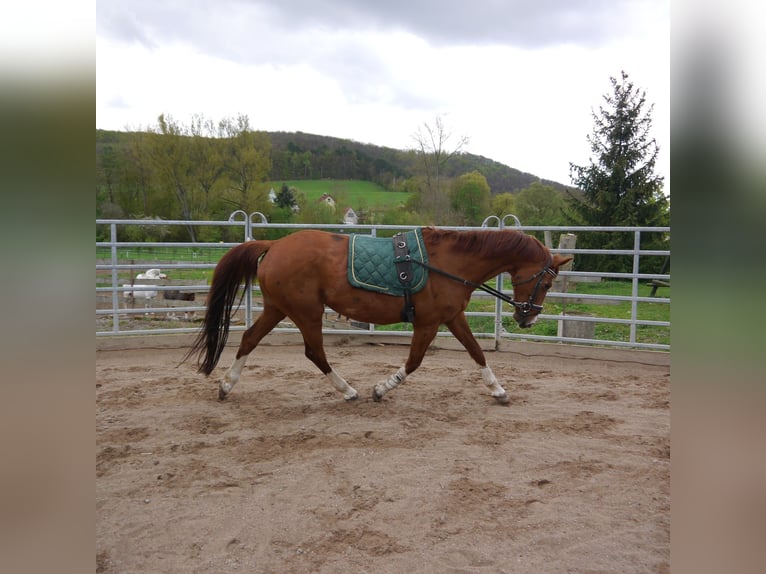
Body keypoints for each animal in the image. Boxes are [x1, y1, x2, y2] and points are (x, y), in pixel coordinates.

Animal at [186, 230, 568, 404]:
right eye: (547, 282)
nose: (529, 320)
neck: (449, 263)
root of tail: (275, 243)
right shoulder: (428, 322)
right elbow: (414, 362)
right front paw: (382, 388)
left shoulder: (452, 317)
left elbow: (476, 352)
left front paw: (498, 390)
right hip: (306, 312)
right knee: (314, 352)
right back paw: (348, 390)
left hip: (279, 308)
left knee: (250, 339)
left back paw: (226, 386)